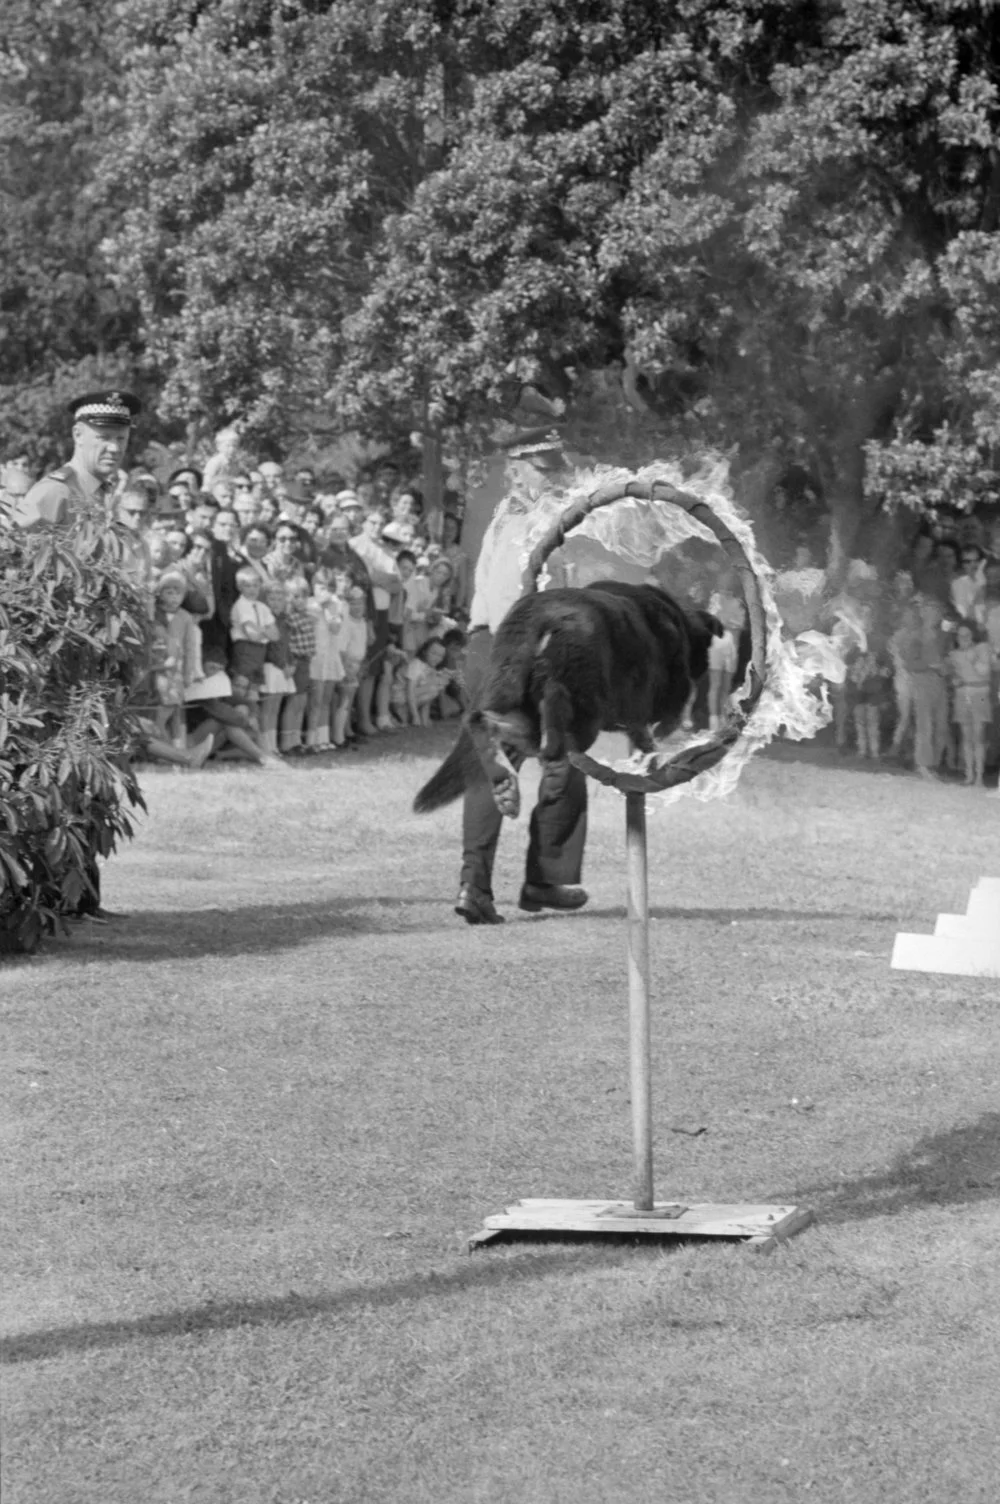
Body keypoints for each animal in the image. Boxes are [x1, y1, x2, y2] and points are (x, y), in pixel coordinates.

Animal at [409, 574, 721, 818]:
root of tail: (541, 609)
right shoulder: (666, 697)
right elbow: (661, 722)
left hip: (516, 694)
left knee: (489, 723)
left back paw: (503, 783)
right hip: (585, 704)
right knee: (556, 744)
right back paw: (553, 776)